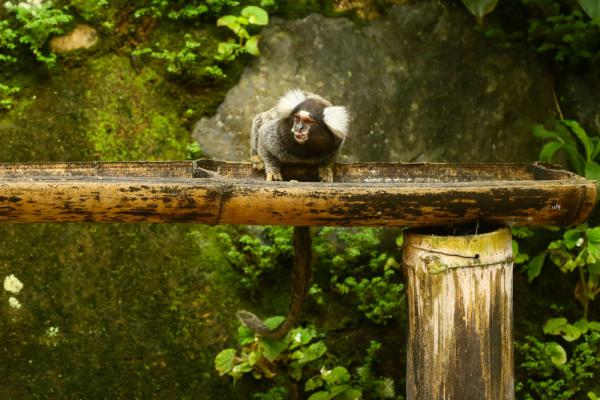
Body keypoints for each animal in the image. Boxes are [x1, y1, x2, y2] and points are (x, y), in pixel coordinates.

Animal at [238, 90, 352, 338]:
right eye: (297, 118)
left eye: (309, 122)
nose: (298, 129)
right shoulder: (277, 135)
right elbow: (264, 138)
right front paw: (271, 168)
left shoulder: (335, 144)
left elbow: (330, 159)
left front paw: (326, 170)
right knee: (259, 123)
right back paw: (255, 159)